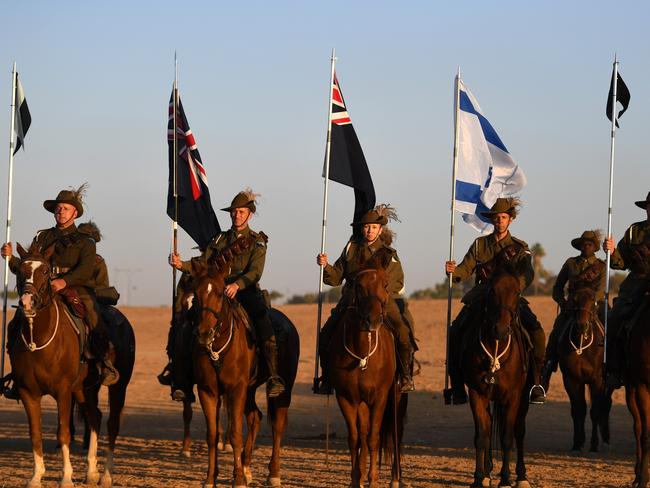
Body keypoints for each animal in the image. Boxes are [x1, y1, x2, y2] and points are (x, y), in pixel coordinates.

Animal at [189, 235, 298, 484]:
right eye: (196, 295)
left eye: (220, 293)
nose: (204, 334)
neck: (218, 348)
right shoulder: (208, 391)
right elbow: (212, 435)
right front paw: (211, 479)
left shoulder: (235, 389)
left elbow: (235, 433)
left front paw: (238, 480)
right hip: (250, 388)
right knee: (255, 417)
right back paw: (247, 468)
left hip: (282, 388)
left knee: (277, 425)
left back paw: (273, 474)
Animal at [330, 248, 404, 488]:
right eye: (358, 285)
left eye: (386, 284)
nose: (372, 320)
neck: (363, 355)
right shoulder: (346, 398)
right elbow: (355, 438)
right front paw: (356, 479)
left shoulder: (380, 397)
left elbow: (373, 438)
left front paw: (372, 480)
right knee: (362, 433)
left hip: (395, 397)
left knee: (393, 434)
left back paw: (395, 479)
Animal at [464, 254, 536, 486]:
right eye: (491, 291)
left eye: (517, 292)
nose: (501, 329)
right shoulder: (477, 394)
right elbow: (482, 436)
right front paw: (479, 478)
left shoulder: (513, 396)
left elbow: (507, 437)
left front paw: (505, 479)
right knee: (489, 427)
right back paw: (487, 472)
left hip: (524, 397)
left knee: (519, 431)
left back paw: (521, 476)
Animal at [556, 268, 612, 452]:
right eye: (573, 299)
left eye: (593, 299)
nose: (582, 326)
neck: (583, 345)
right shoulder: (572, 380)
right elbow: (578, 410)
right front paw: (578, 442)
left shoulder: (597, 381)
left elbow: (595, 411)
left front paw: (594, 444)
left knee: (605, 405)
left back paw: (606, 437)